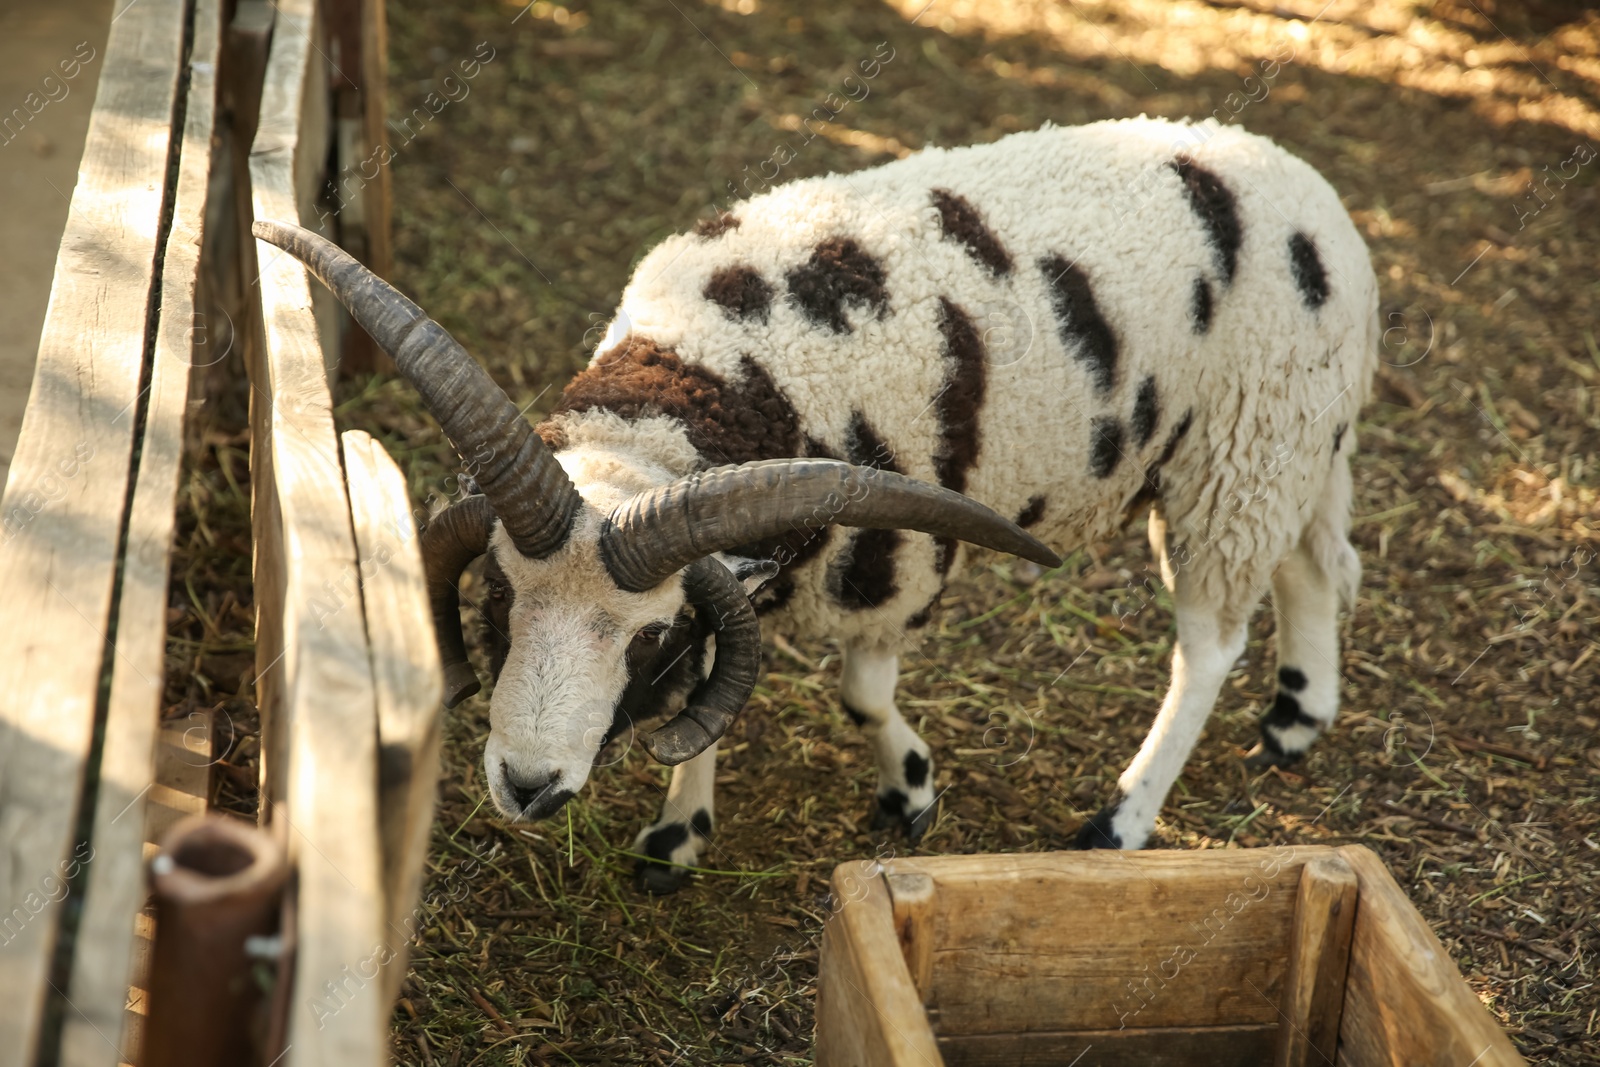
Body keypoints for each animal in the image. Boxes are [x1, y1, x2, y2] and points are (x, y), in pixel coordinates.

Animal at [256, 115, 1382, 895]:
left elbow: (859, 694)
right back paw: (1296, 713)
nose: (526, 783)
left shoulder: (894, 557)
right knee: (1320, 561)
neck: (719, 377)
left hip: (1240, 454)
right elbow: (721, 688)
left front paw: (911, 788)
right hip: (1294, 438)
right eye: (497, 598)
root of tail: (1321, 205)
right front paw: (676, 840)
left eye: (648, 637)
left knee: (1209, 639)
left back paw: (1122, 818)